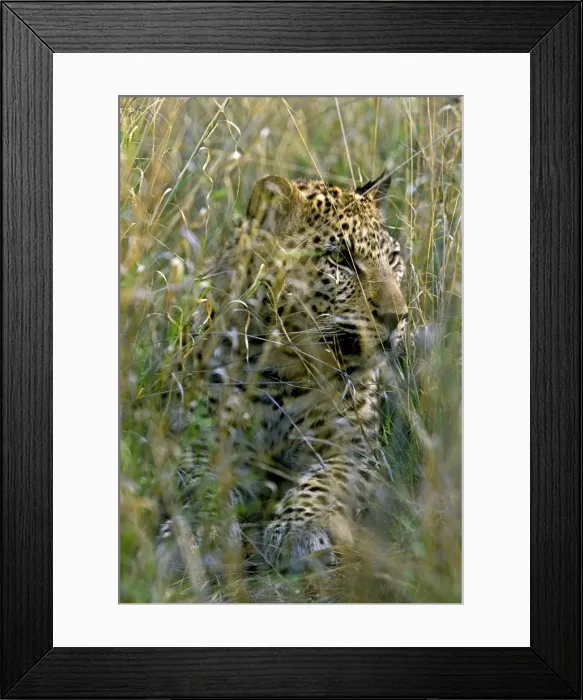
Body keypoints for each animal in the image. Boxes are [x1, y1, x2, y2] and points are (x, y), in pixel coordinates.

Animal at [157, 169, 409, 584]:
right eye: (341, 259)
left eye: (393, 260)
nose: (398, 316)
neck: (282, 366)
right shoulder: (196, 438)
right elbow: (202, 482)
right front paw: (198, 534)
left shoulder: (354, 448)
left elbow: (322, 483)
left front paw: (297, 533)